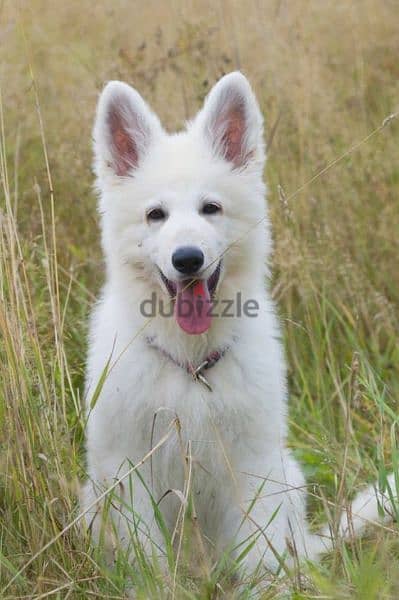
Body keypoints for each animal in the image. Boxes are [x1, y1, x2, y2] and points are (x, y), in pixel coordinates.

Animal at [83, 72, 396, 580]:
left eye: (211, 208)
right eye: (156, 214)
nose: (187, 259)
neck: (191, 365)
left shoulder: (253, 467)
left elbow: (260, 557)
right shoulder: (129, 470)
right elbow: (150, 560)